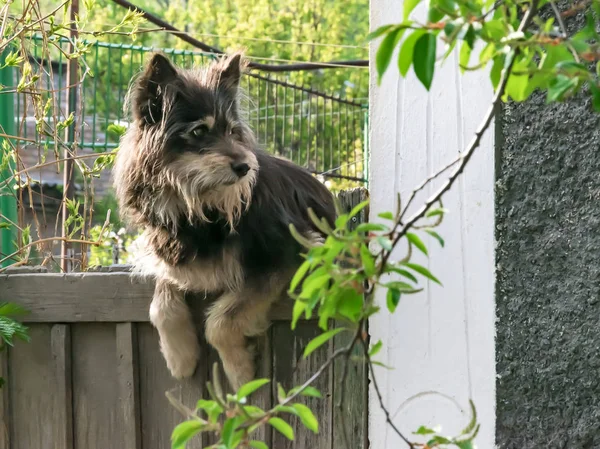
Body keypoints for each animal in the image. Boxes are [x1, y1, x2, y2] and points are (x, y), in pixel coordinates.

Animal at [113, 50, 338, 388]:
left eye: (232, 131)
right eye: (199, 131)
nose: (246, 167)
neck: (196, 205)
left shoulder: (286, 255)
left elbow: (220, 320)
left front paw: (240, 371)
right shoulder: (176, 257)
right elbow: (160, 304)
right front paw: (180, 357)